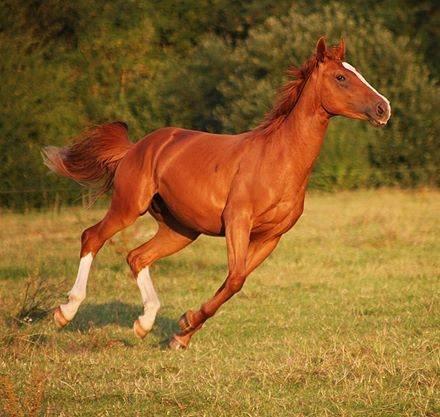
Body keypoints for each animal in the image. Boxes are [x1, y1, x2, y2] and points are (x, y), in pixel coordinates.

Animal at [42, 37, 392, 348]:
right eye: (341, 77)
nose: (383, 108)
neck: (279, 159)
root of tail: (136, 148)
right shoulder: (237, 222)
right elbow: (235, 279)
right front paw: (184, 325)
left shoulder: (271, 237)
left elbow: (233, 282)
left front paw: (181, 333)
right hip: (129, 206)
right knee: (92, 237)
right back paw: (65, 312)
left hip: (181, 230)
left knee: (137, 256)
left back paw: (144, 323)